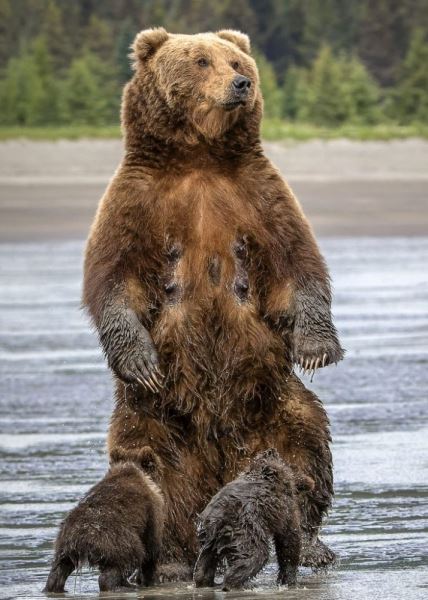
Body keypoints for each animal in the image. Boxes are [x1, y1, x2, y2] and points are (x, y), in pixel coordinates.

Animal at [83, 27, 344, 576]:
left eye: (238, 61)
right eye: (202, 61)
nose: (241, 83)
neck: (199, 157)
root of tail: (220, 459)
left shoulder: (259, 197)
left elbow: (297, 266)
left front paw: (316, 348)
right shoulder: (134, 203)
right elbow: (114, 281)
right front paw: (140, 361)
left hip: (273, 403)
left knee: (306, 449)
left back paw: (312, 545)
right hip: (155, 416)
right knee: (151, 467)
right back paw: (170, 560)